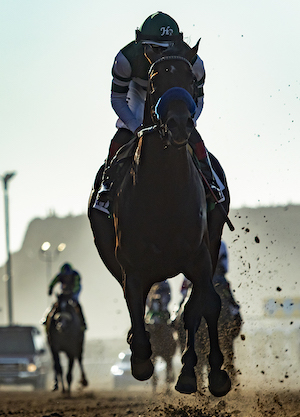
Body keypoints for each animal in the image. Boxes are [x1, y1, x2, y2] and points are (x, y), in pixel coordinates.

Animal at [88, 42, 231, 396]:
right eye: (153, 81)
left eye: (191, 79)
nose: (180, 124)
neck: (164, 191)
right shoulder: (131, 265)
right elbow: (136, 309)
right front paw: (140, 359)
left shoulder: (200, 256)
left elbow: (203, 306)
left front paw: (208, 373)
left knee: (200, 307)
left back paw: (196, 371)